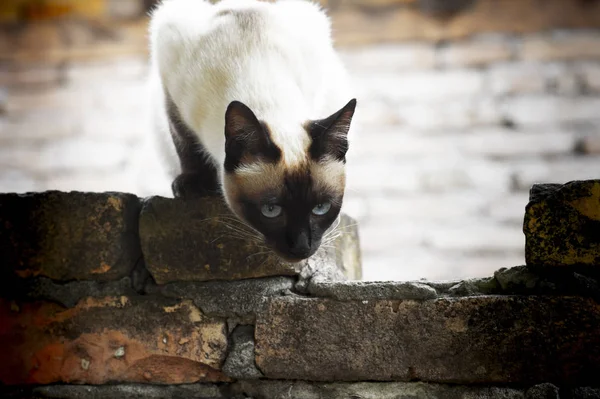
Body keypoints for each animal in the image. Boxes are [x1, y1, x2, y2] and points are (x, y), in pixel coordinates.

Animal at [149, 0, 356, 262]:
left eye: (321, 208)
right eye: (271, 210)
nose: (301, 248)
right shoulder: (171, 87)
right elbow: (185, 142)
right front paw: (193, 184)